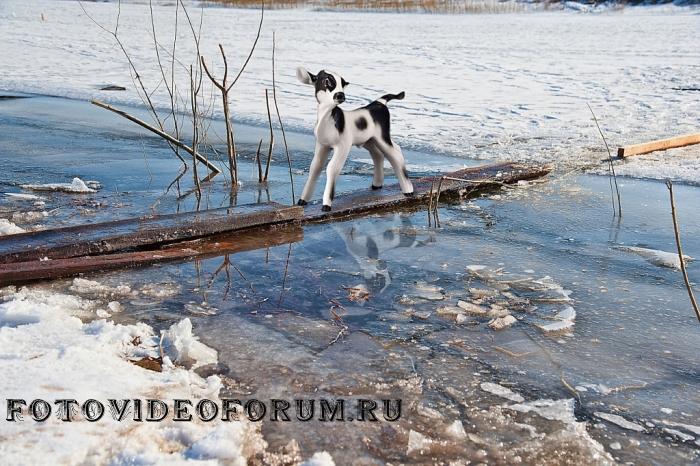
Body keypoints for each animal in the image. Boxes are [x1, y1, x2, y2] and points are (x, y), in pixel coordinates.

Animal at [294, 66, 412, 211]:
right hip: (369, 140)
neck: (329, 120)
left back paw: (408, 191)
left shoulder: (342, 146)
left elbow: (331, 168)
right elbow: (315, 167)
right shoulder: (322, 145)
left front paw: (326, 204)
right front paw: (302, 200)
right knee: (380, 154)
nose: (340, 95)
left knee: (395, 154)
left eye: (342, 83)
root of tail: (379, 103)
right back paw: (377, 185)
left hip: (381, 136)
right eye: (327, 80)